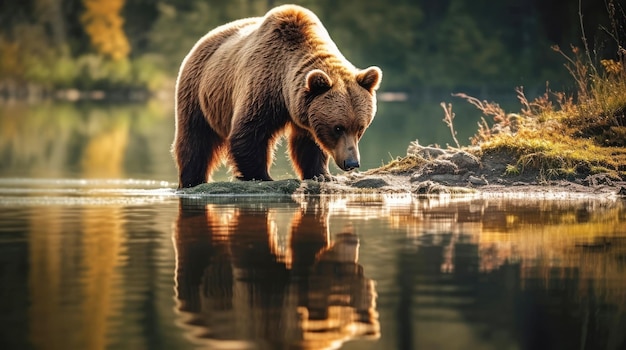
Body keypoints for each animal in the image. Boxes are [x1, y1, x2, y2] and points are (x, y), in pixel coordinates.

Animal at [173, 3, 382, 189]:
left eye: (360, 127)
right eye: (338, 128)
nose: (352, 163)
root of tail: (205, 38)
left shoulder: (305, 111)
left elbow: (308, 144)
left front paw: (321, 174)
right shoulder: (263, 87)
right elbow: (248, 133)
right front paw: (262, 176)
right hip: (198, 92)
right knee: (195, 140)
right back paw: (192, 181)